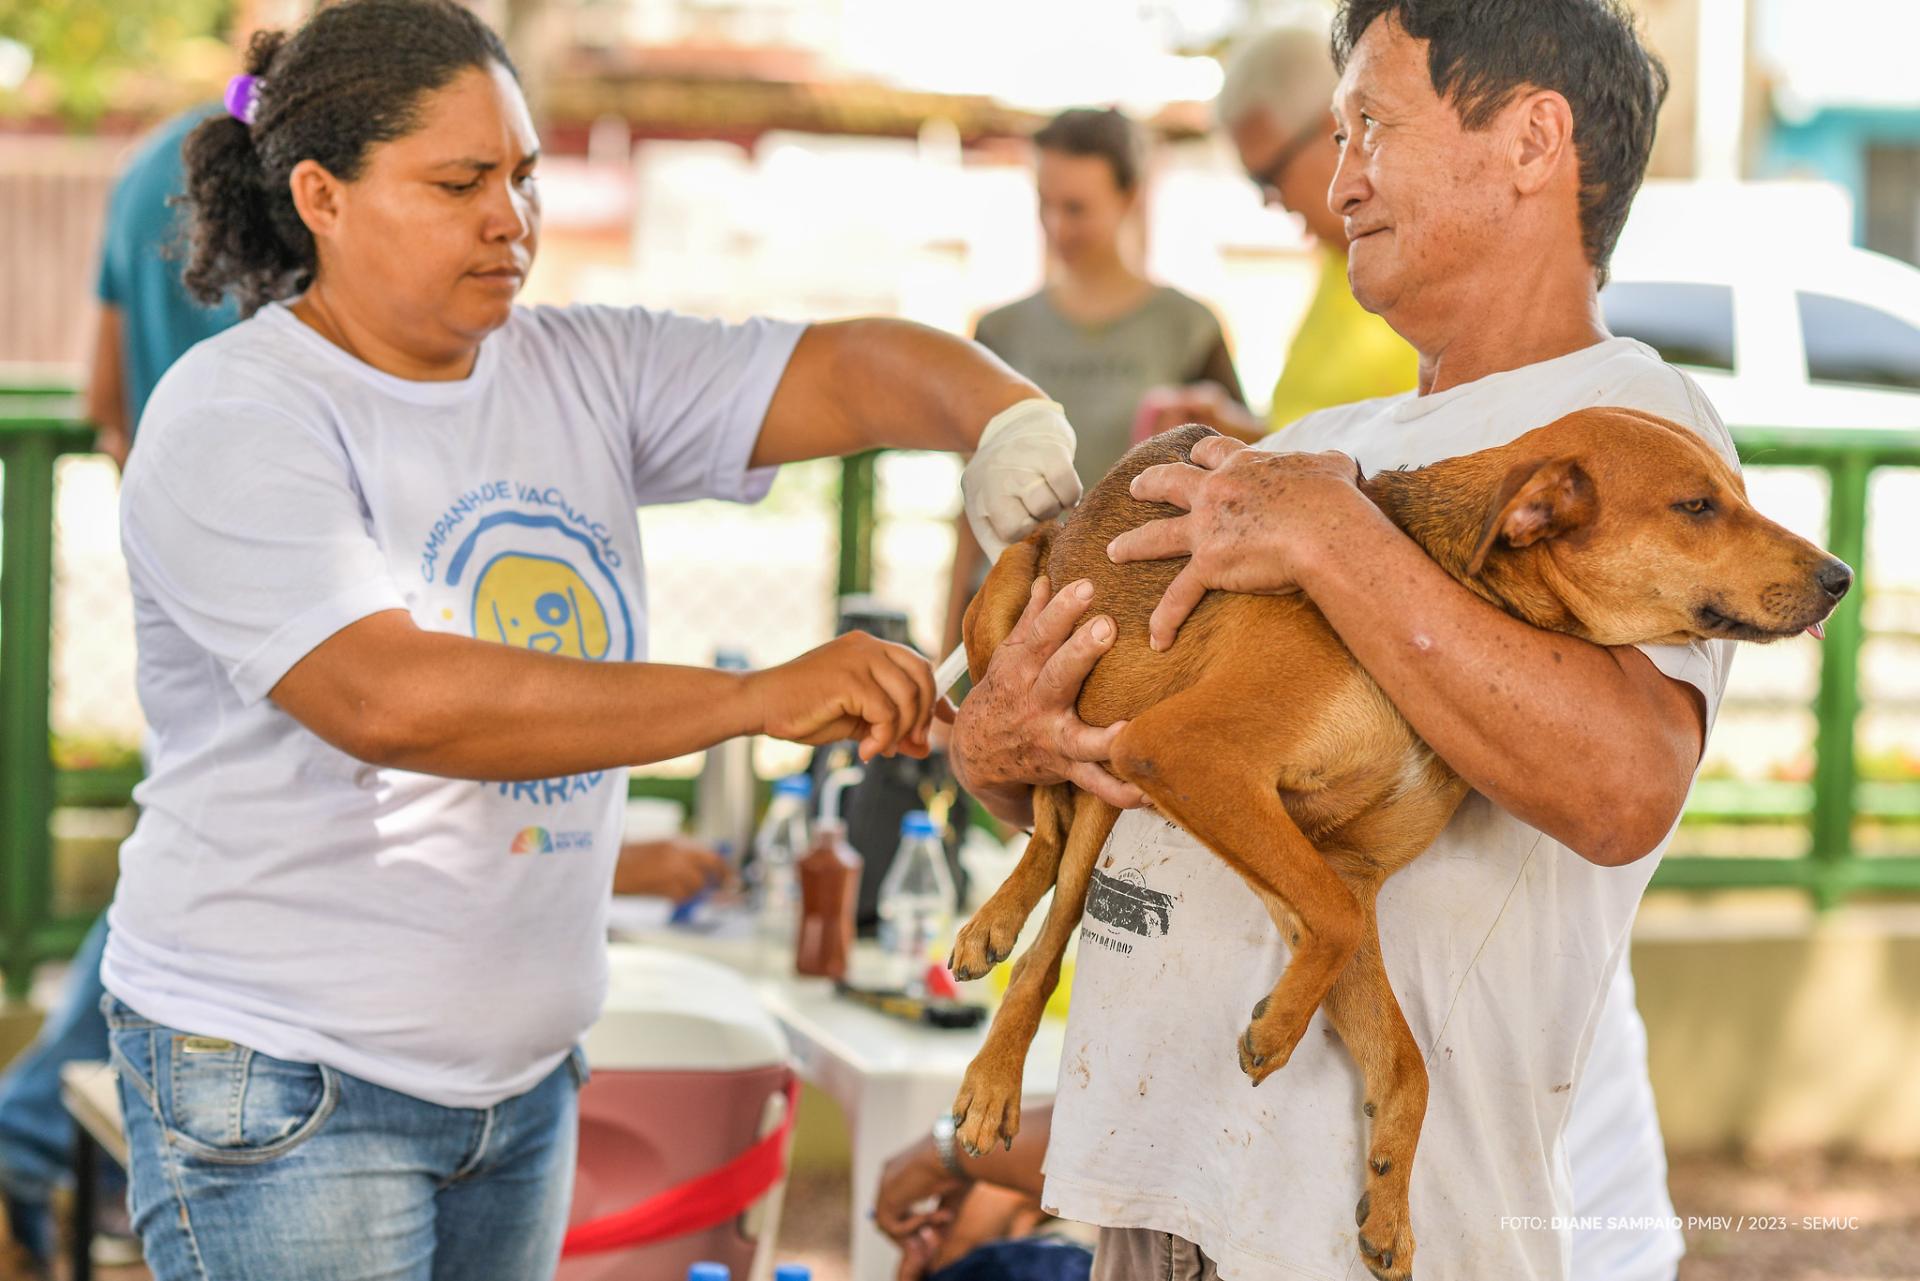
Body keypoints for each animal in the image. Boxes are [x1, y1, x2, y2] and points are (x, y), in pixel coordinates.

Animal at [944, 410, 1843, 1281]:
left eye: (1739, 494)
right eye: (1697, 506)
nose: (1841, 578)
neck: (1440, 597)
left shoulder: (1330, 860)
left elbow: (1402, 1052)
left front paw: (1387, 1204)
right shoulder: (1189, 755)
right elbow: (1337, 929)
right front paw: (1277, 1031)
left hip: (1110, 767)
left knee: (1061, 857)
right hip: (1017, 620)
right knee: (1046, 871)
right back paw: (992, 1042)